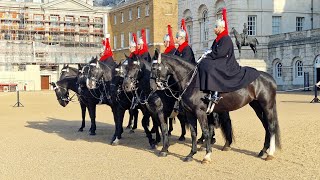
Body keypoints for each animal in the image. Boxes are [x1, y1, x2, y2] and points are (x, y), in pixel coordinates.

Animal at [150, 53, 280, 163]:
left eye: (154, 68)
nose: (152, 88)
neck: (192, 82)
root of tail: (269, 77)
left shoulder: (200, 112)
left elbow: (206, 131)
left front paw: (207, 156)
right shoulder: (190, 113)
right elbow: (193, 133)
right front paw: (191, 154)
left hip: (267, 107)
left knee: (271, 127)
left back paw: (270, 154)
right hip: (257, 107)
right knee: (266, 127)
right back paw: (263, 151)